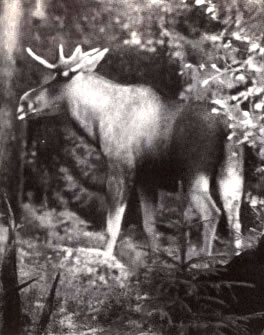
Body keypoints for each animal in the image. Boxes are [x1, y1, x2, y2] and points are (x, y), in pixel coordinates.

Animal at [17, 45, 244, 258]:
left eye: (59, 79)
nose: (23, 102)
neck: (97, 122)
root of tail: (226, 126)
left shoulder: (120, 168)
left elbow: (113, 226)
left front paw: (106, 256)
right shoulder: (146, 180)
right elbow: (149, 227)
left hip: (194, 174)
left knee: (212, 213)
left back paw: (204, 260)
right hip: (231, 174)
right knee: (235, 222)